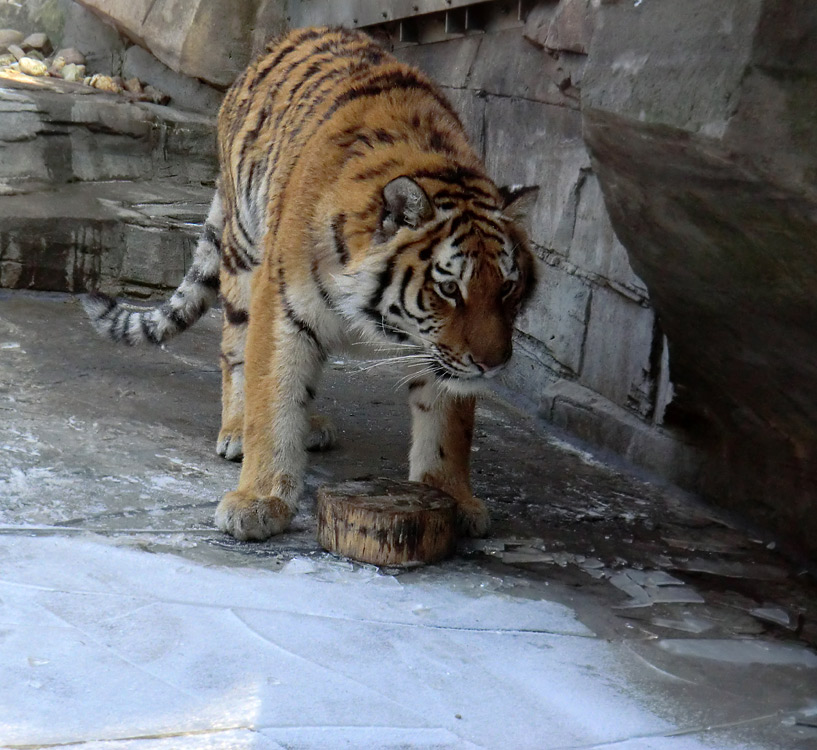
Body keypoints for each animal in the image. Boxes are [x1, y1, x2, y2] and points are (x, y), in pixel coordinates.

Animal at [84, 26, 536, 544]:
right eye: (448, 290)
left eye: (506, 289)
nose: (493, 364)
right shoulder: (282, 307)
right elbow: (273, 397)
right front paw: (259, 500)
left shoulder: (438, 353)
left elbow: (446, 426)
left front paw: (452, 497)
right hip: (244, 253)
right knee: (234, 350)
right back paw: (237, 429)